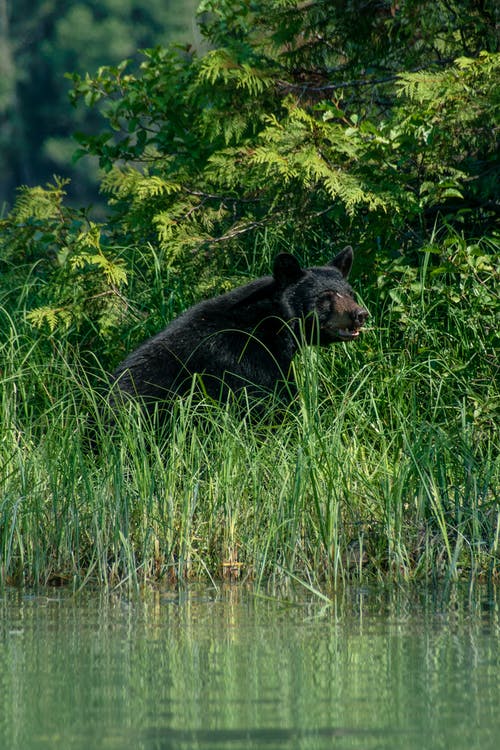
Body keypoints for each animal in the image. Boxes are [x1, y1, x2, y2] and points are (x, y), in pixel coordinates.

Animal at [109, 248, 368, 420]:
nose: (360, 314)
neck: (271, 324)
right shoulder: (247, 360)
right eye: (326, 296)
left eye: (350, 293)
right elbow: (271, 402)